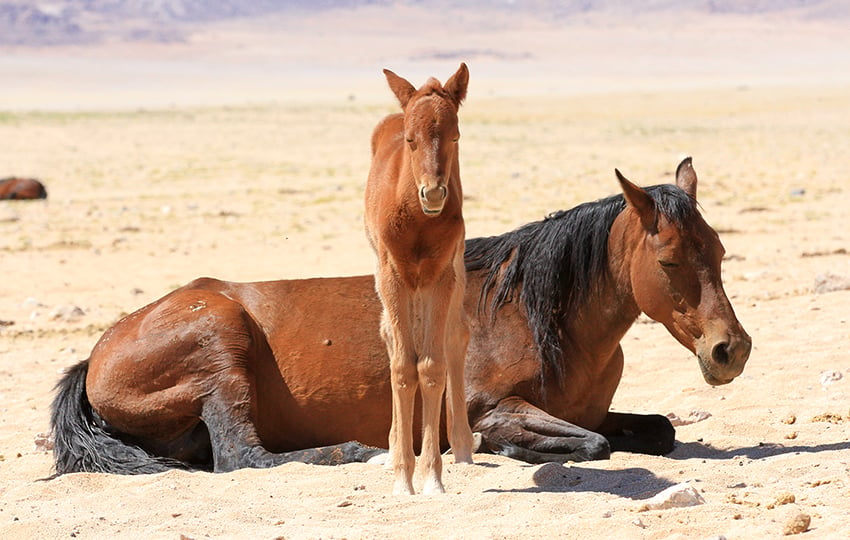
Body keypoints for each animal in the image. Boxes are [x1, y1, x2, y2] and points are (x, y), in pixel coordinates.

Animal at [49, 158, 748, 474]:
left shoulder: (596, 410)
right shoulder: (493, 406)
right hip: (221, 338)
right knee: (244, 456)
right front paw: (497, 448)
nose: (730, 350)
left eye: (716, 250)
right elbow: (590, 444)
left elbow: (656, 430)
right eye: (670, 260)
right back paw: (351, 452)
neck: (532, 313)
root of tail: (99, 351)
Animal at [362, 63, 474, 494]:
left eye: (455, 135)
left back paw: (463, 448)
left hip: (448, 275)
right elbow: (401, 367)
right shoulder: (393, 276)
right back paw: (395, 447)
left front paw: (431, 479)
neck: (417, 223)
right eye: (410, 140)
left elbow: (430, 366)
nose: (434, 194)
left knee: (456, 335)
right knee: (391, 339)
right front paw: (402, 479)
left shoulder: (441, 275)